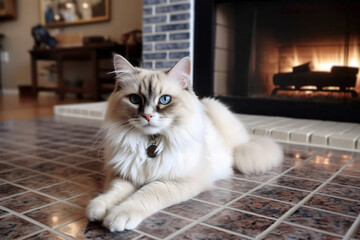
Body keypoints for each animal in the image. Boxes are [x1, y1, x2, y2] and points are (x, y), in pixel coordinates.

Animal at [87, 55, 284, 232]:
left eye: (164, 100)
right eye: (135, 99)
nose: (148, 116)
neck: (150, 143)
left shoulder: (175, 181)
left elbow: (144, 195)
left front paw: (118, 215)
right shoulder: (123, 174)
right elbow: (114, 192)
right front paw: (98, 209)